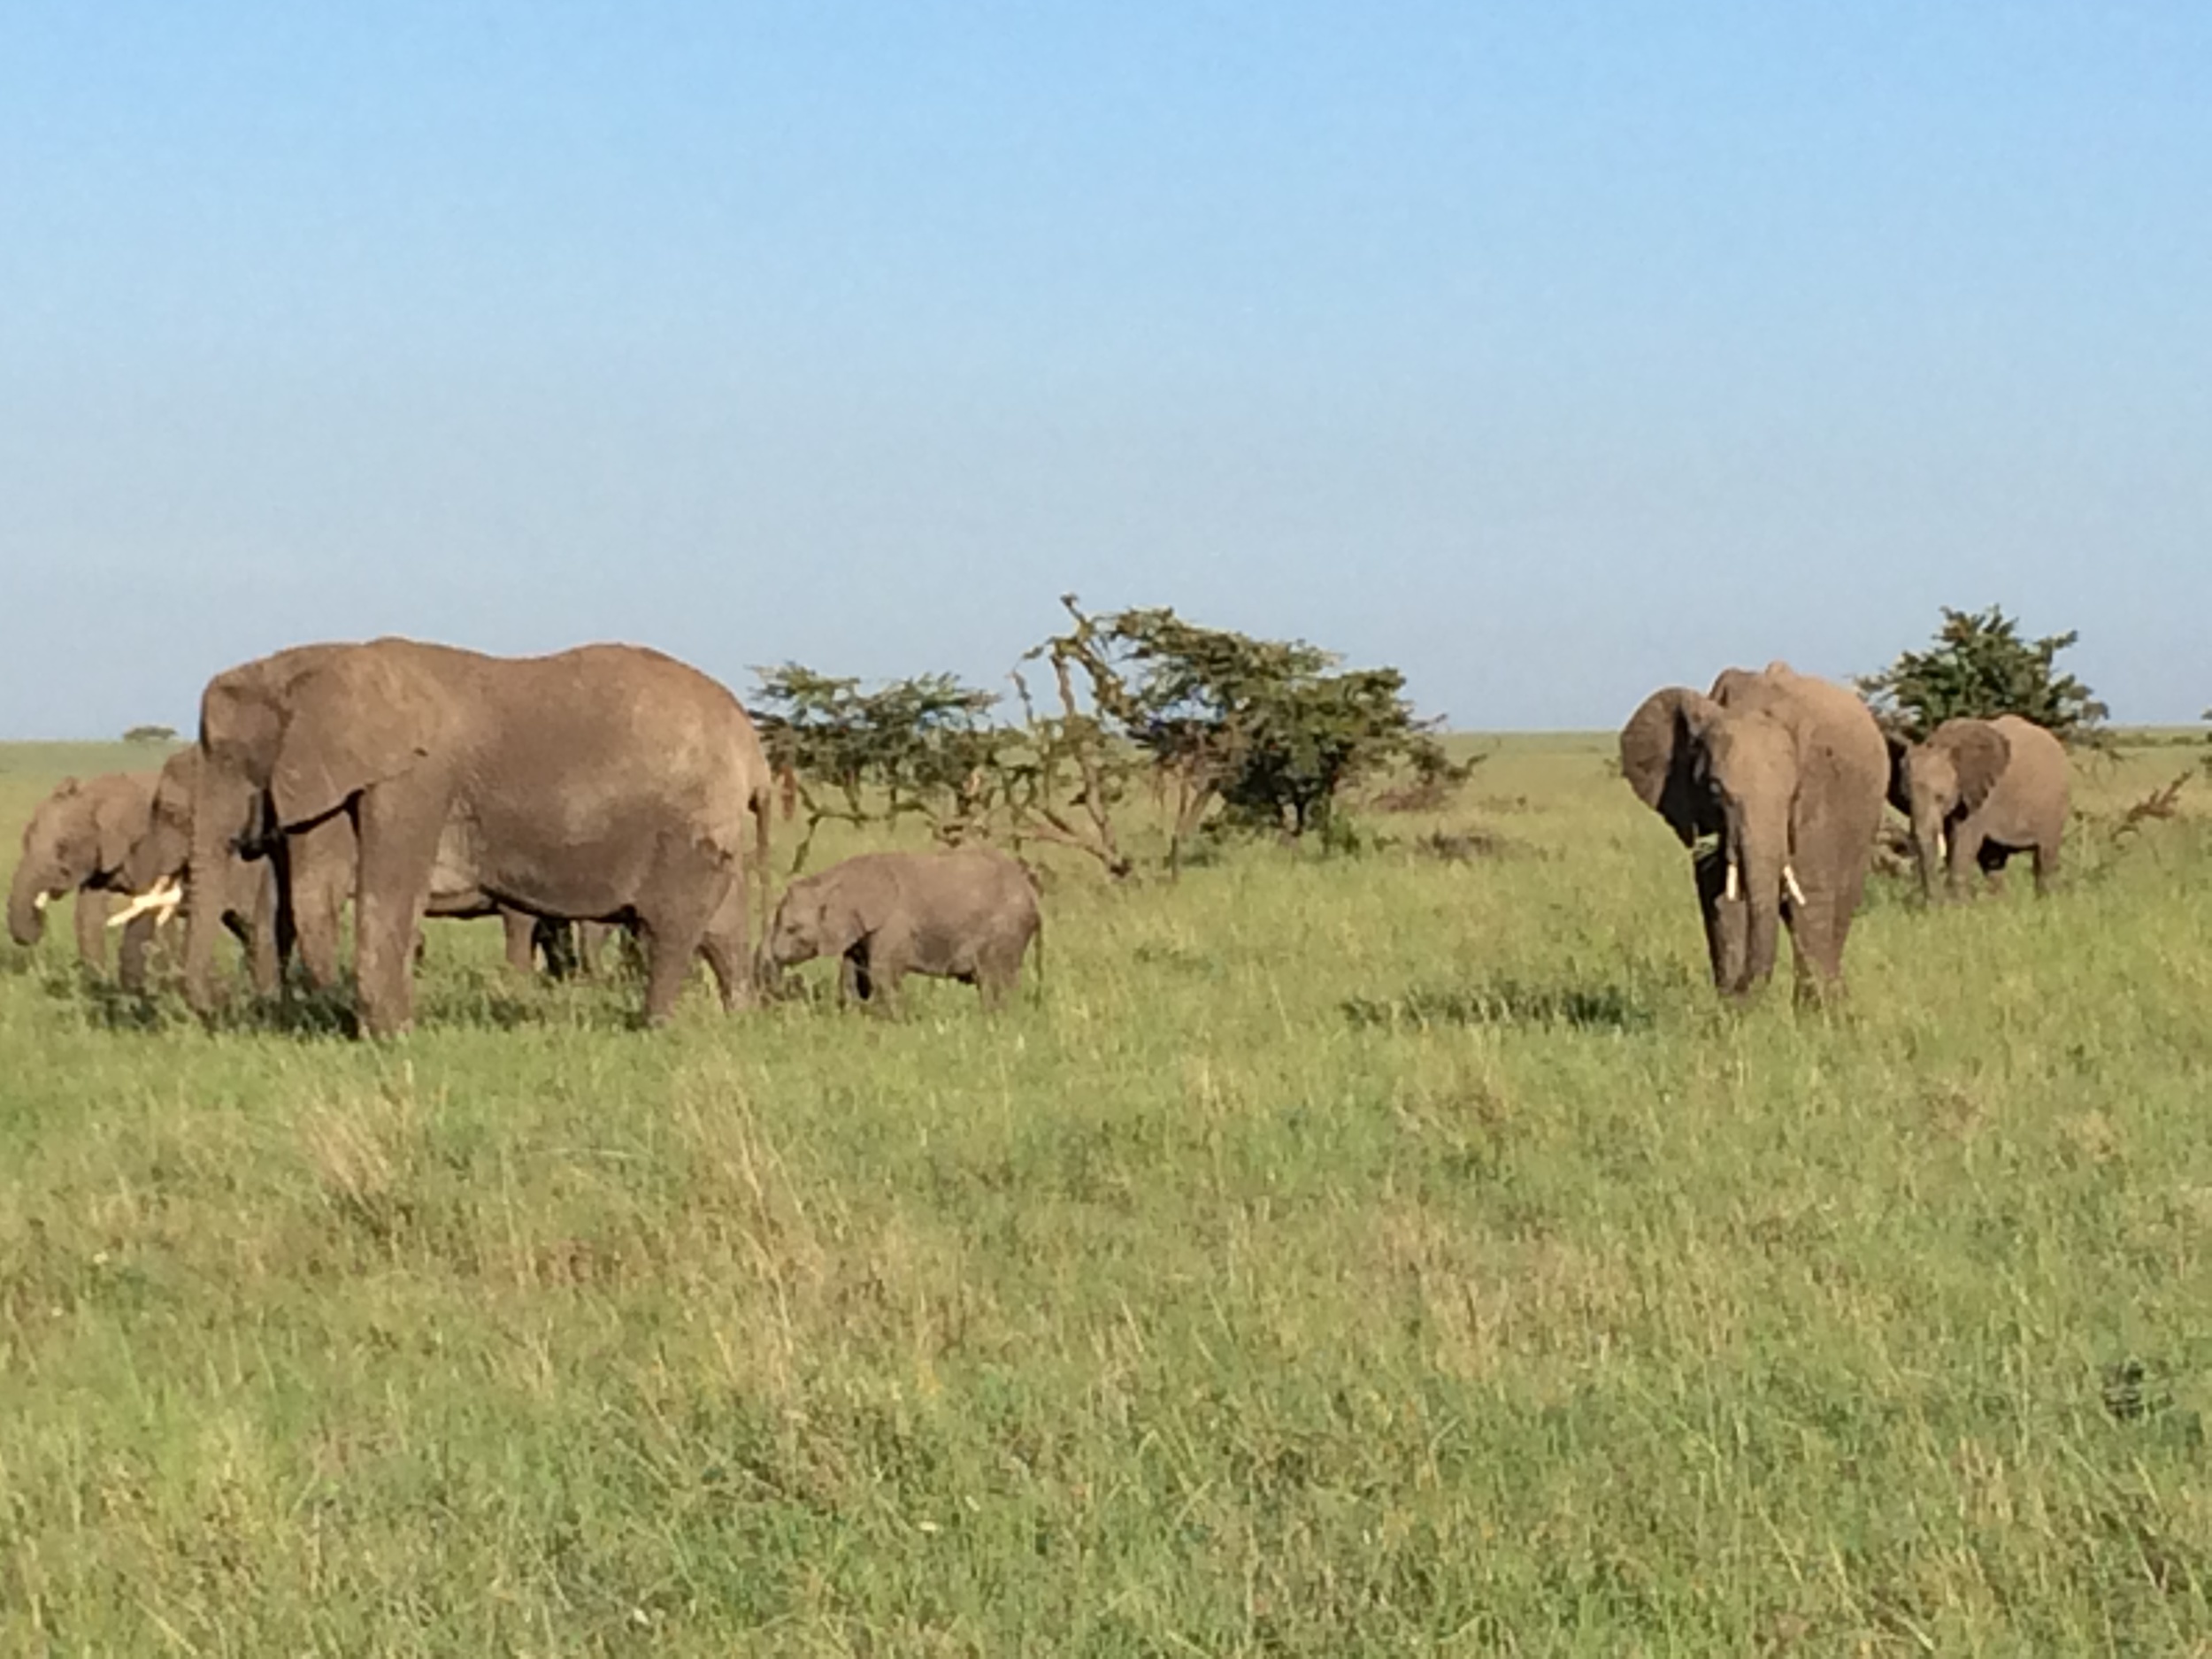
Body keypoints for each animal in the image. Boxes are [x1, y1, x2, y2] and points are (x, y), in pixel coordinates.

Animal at [761, 858, 1044, 1013]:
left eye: (792, 929)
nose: (793, 982)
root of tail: (1031, 890)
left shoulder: (893, 924)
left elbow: (882, 973)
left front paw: (895, 1022)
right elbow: (853, 973)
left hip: (1006, 932)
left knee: (994, 982)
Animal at [1619, 664, 1893, 1000]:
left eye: (1793, 795)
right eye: (1714, 789)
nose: (1739, 989)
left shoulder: (1818, 801)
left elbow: (1809, 894)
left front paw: (1814, 1010)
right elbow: (1719, 893)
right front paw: (1731, 1006)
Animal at [1885, 712, 2070, 898]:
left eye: (1940, 798)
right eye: (1906, 799)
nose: (1932, 902)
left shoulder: (1981, 797)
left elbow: (1965, 840)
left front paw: (1957, 902)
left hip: (2056, 806)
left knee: (2044, 857)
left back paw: (2045, 899)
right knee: (1993, 861)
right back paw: (2001, 901)